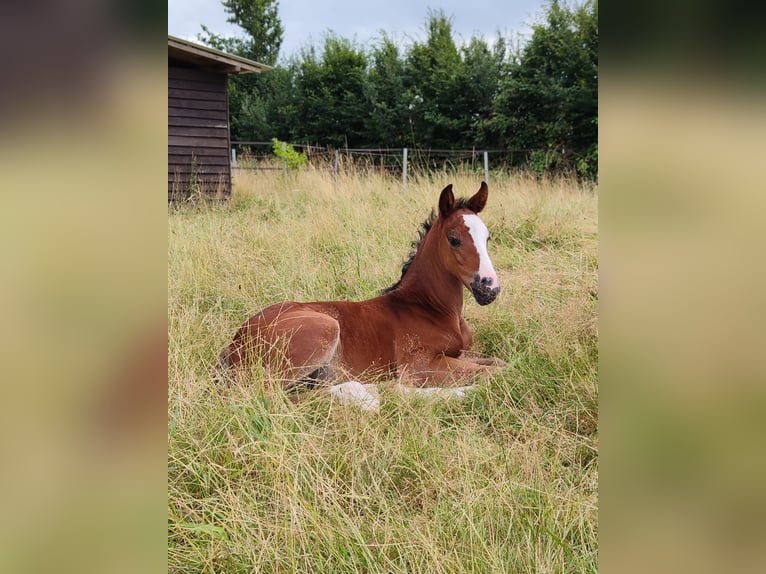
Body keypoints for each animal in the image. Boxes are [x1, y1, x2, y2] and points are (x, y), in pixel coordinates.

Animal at [218, 182, 503, 408]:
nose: (490, 287)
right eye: (454, 239)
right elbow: (491, 373)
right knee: (267, 395)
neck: (430, 308)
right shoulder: (420, 366)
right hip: (323, 329)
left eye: (488, 238)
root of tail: (237, 341)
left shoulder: (458, 355)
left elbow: (497, 363)